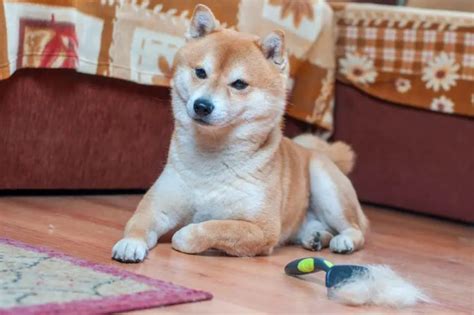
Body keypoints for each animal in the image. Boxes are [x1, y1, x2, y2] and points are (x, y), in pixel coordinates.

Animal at [111, 4, 366, 264]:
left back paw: (343, 241)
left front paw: (186, 235)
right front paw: (131, 244)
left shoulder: (261, 228)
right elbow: (138, 223)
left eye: (239, 84)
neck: (210, 158)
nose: (202, 106)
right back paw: (316, 237)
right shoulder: (157, 206)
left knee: (356, 229)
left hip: (326, 186)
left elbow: (207, 228)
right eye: (200, 72)